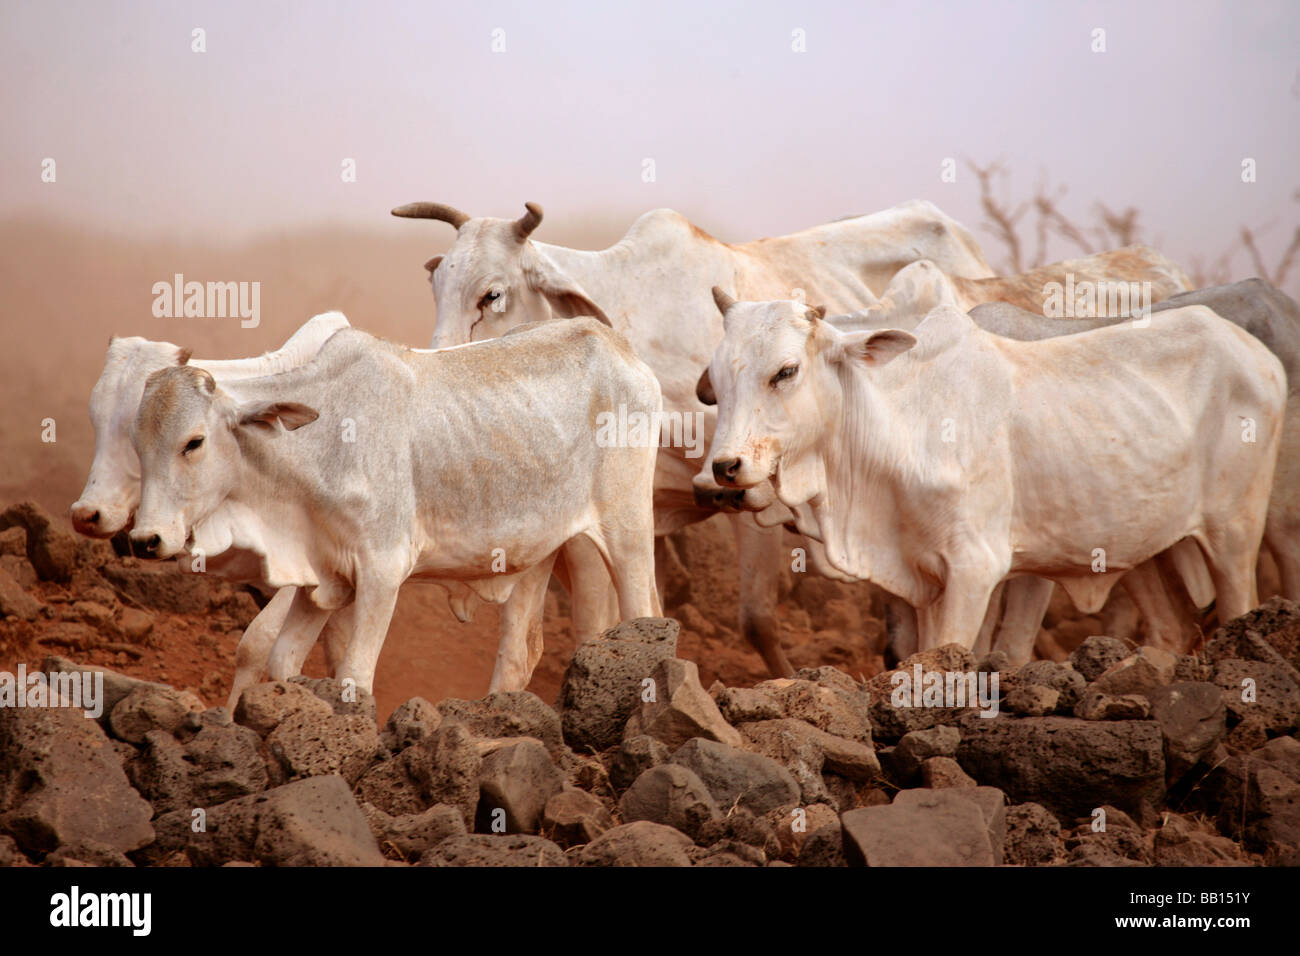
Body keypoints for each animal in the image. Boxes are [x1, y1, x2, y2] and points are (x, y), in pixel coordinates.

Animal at [128, 323, 665, 697]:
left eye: (193, 442)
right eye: (138, 445)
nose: (145, 540)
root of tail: (617, 345)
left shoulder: (383, 572)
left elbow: (355, 676)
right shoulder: (322, 580)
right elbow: (283, 663)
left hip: (627, 530)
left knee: (645, 613)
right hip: (539, 552)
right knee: (517, 655)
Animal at [696, 290, 1284, 650]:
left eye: (786, 371)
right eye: (717, 381)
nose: (722, 470)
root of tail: (1259, 354)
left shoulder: (974, 567)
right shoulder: (924, 582)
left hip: (1235, 532)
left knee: (1238, 600)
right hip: (1143, 546)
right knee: (1171, 632)